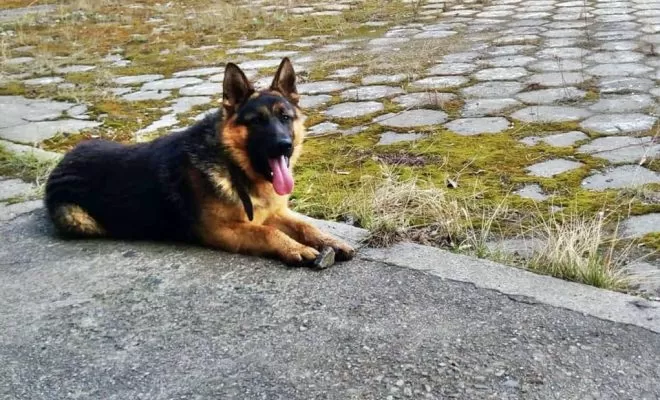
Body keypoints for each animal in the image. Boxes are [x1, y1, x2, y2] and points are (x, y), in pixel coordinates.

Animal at [44, 58, 355, 267]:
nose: (284, 145)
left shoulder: (274, 212)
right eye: (256, 122)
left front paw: (330, 241)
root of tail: (63, 160)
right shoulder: (222, 230)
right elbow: (266, 232)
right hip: (80, 220)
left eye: (285, 117)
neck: (233, 167)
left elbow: (306, 226)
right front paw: (294, 248)